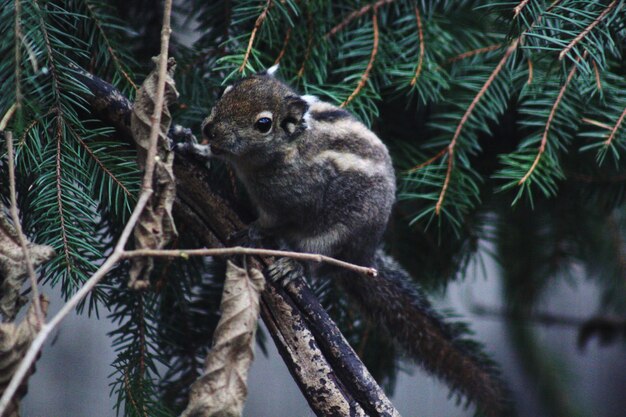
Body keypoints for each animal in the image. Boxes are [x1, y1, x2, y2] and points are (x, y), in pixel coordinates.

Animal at [179, 66, 508, 414]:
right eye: (227, 90)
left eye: (263, 124)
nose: (209, 129)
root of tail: (363, 254)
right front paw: (191, 145)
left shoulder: (294, 199)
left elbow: (272, 221)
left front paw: (253, 230)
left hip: (334, 237)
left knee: (316, 260)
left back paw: (292, 266)